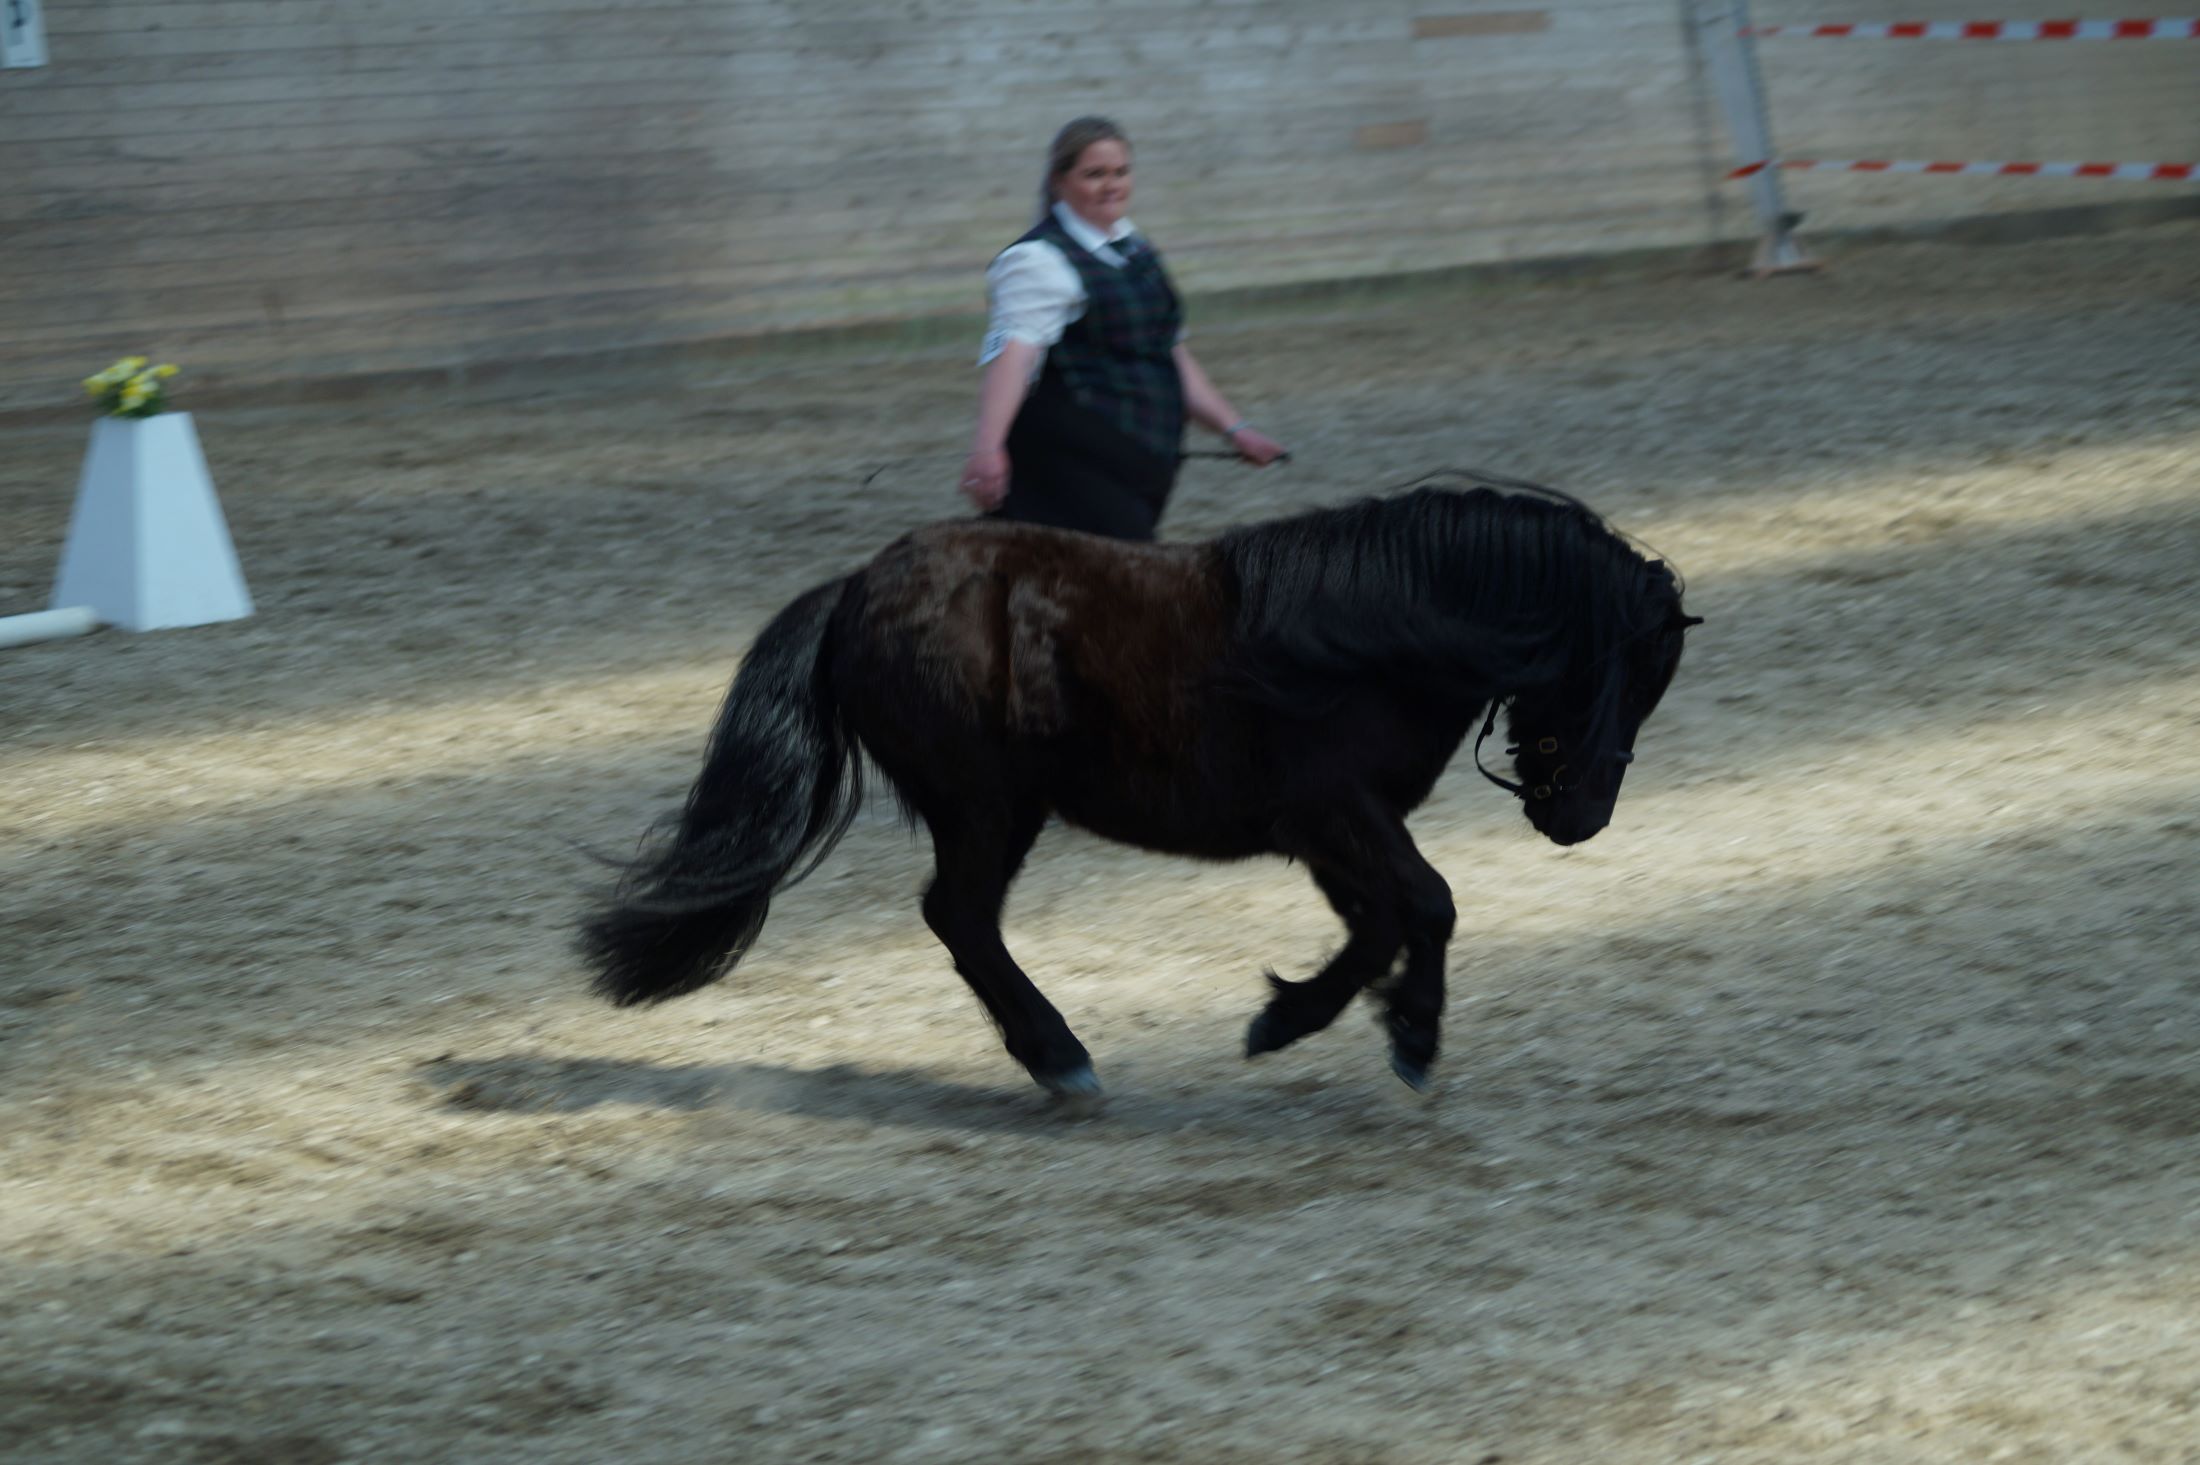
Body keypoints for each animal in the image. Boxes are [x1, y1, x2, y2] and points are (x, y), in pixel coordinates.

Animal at [576, 472, 1689, 1099]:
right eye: (1625, 673)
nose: (1583, 814)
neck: (1375, 637)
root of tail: (856, 590)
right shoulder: (1339, 810)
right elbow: (1429, 902)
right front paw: (1408, 1035)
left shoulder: (1327, 829)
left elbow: (1380, 921)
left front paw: (1303, 1018)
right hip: (986, 806)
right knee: (959, 916)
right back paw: (1058, 1057)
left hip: (1003, 810)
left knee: (961, 918)